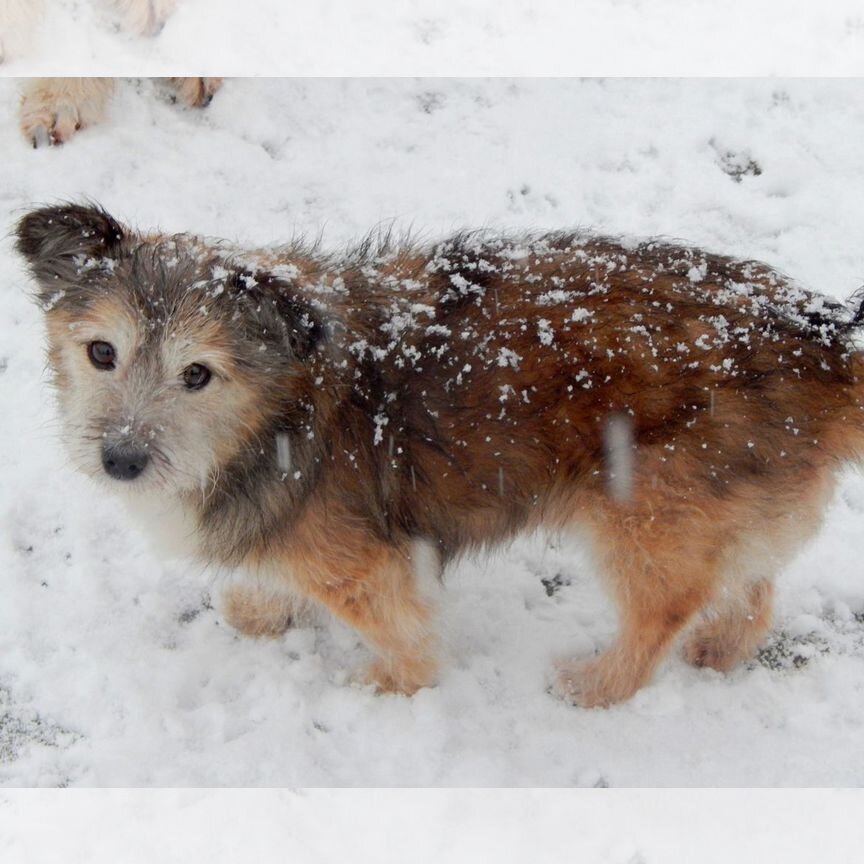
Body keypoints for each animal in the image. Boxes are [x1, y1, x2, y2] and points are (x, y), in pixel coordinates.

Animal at [13, 206, 864, 704]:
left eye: (198, 374)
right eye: (101, 352)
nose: (121, 460)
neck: (275, 411)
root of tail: (815, 334)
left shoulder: (367, 567)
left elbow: (403, 638)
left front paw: (385, 686)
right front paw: (260, 610)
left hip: (644, 513)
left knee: (663, 612)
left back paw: (598, 684)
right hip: (714, 509)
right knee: (750, 593)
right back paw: (719, 652)